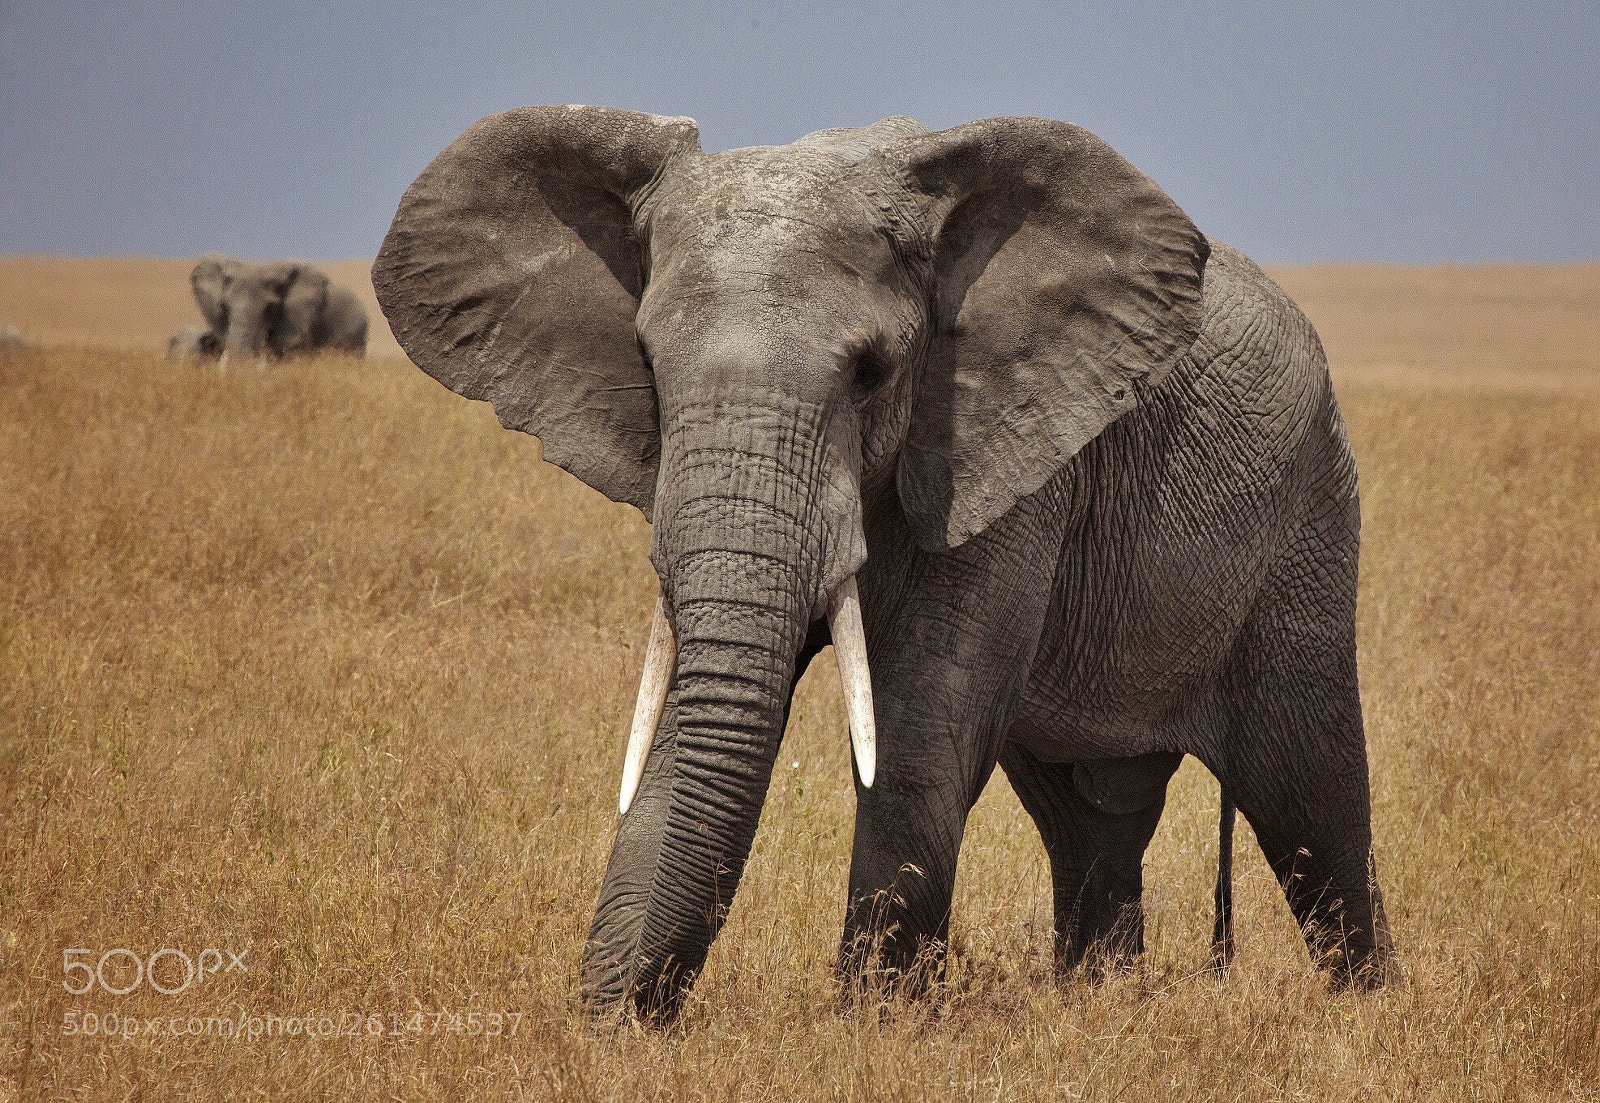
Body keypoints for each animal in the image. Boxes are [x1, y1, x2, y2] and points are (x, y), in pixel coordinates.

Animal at [374, 106, 1397, 1021]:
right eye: (651, 370)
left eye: (869, 374)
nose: (617, 1014)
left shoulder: (1001, 453)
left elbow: (918, 730)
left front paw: (872, 1026)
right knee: (1090, 817)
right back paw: (1104, 1007)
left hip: (1308, 512)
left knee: (1311, 797)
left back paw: (1371, 1012)